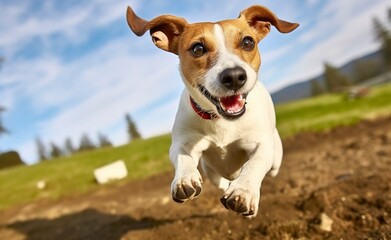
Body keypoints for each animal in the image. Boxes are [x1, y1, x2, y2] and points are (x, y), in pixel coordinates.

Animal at [127, 4, 298, 217]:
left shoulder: (262, 145)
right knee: (221, 182)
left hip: (276, 159)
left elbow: (254, 163)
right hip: (212, 172)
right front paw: (185, 179)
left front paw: (243, 191)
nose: (234, 76)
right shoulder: (183, 142)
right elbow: (183, 157)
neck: (222, 120)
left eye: (248, 42)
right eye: (198, 48)